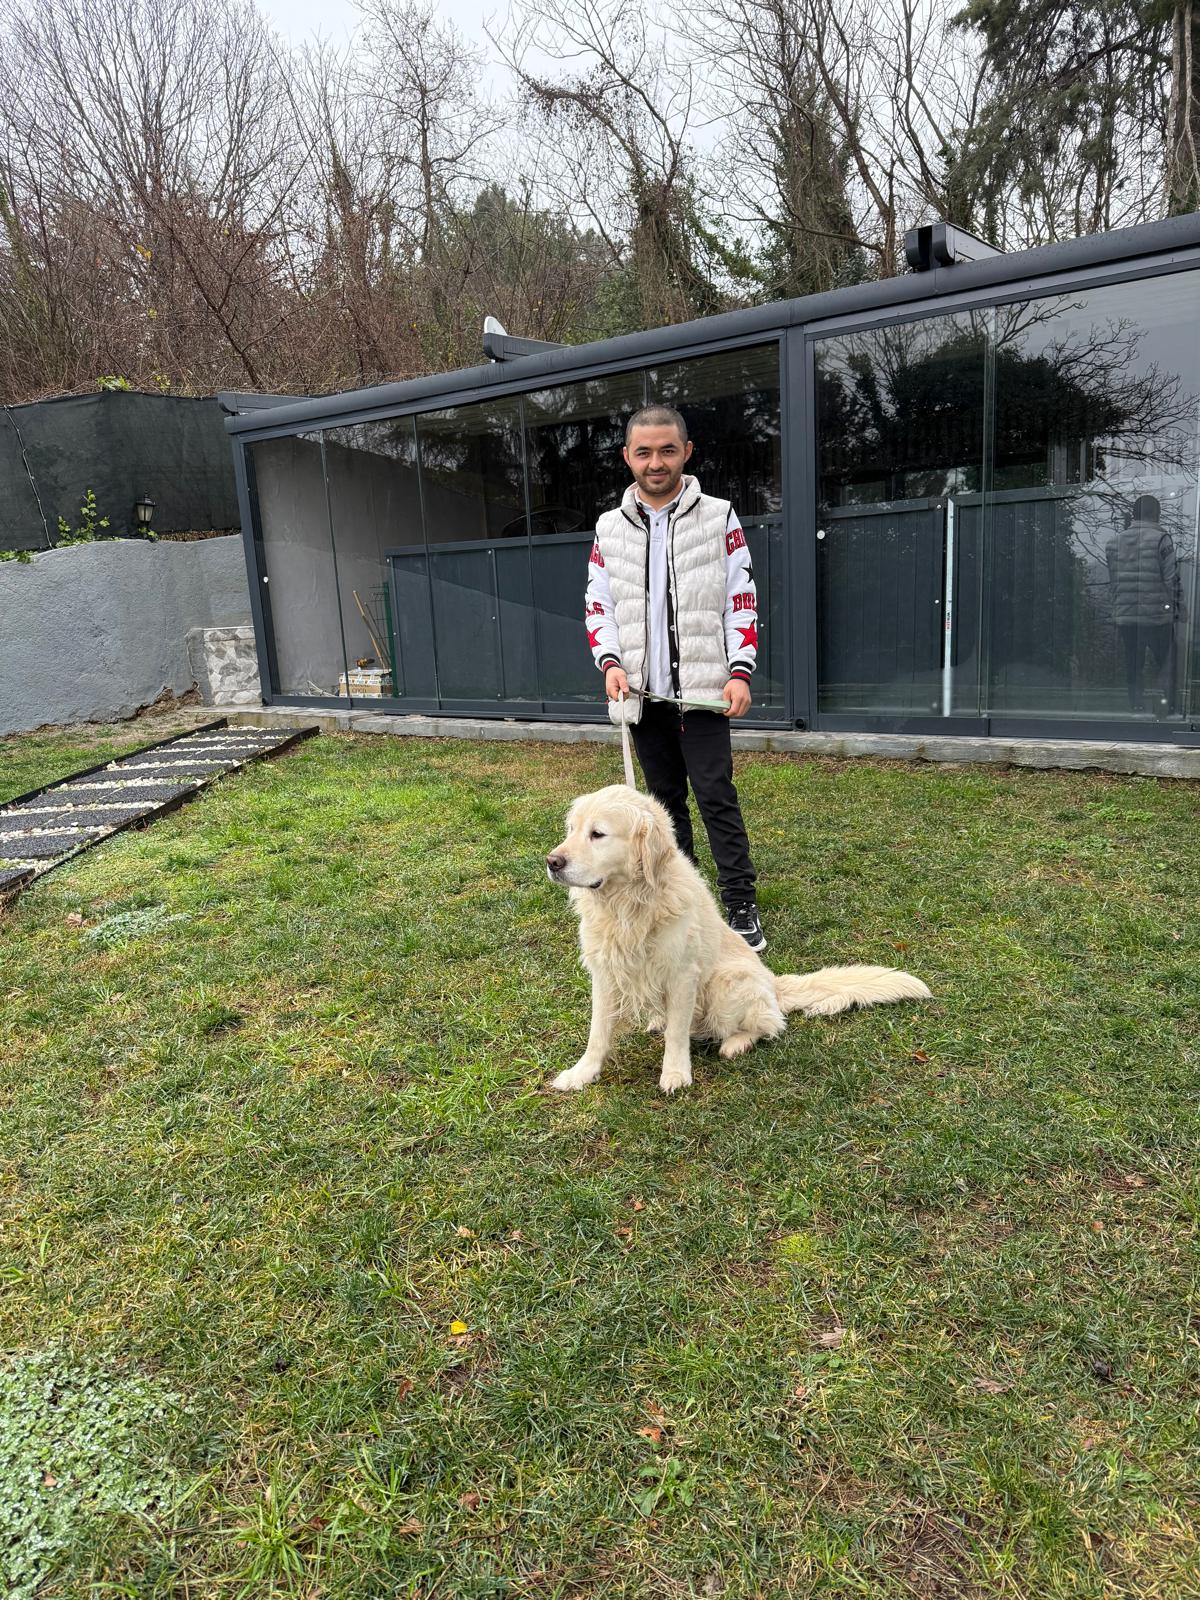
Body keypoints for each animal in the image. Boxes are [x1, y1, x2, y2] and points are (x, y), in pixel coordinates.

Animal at [545, 785, 930, 1095]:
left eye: (598, 834)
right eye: (572, 829)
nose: (552, 861)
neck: (628, 904)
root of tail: (774, 983)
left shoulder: (683, 974)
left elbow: (676, 1034)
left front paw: (675, 1074)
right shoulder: (605, 973)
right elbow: (598, 1032)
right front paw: (582, 1073)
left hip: (726, 982)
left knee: (771, 1024)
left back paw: (736, 1043)